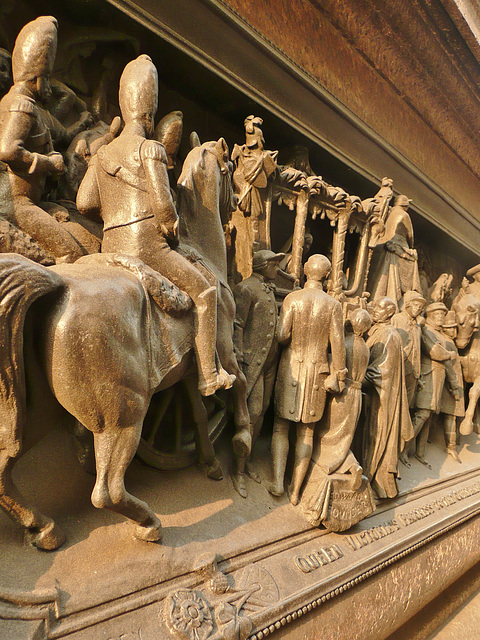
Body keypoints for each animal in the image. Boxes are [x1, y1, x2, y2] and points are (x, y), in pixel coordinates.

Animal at [0, 139, 248, 552]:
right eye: (229, 169)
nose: (240, 206)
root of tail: (56, 283)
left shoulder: (187, 370)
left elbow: (199, 409)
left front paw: (210, 462)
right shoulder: (224, 350)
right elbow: (237, 385)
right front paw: (241, 438)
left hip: (39, 411)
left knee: (4, 465)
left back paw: (46, 529)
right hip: (123, 416)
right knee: (107, 492)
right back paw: (149, 524)